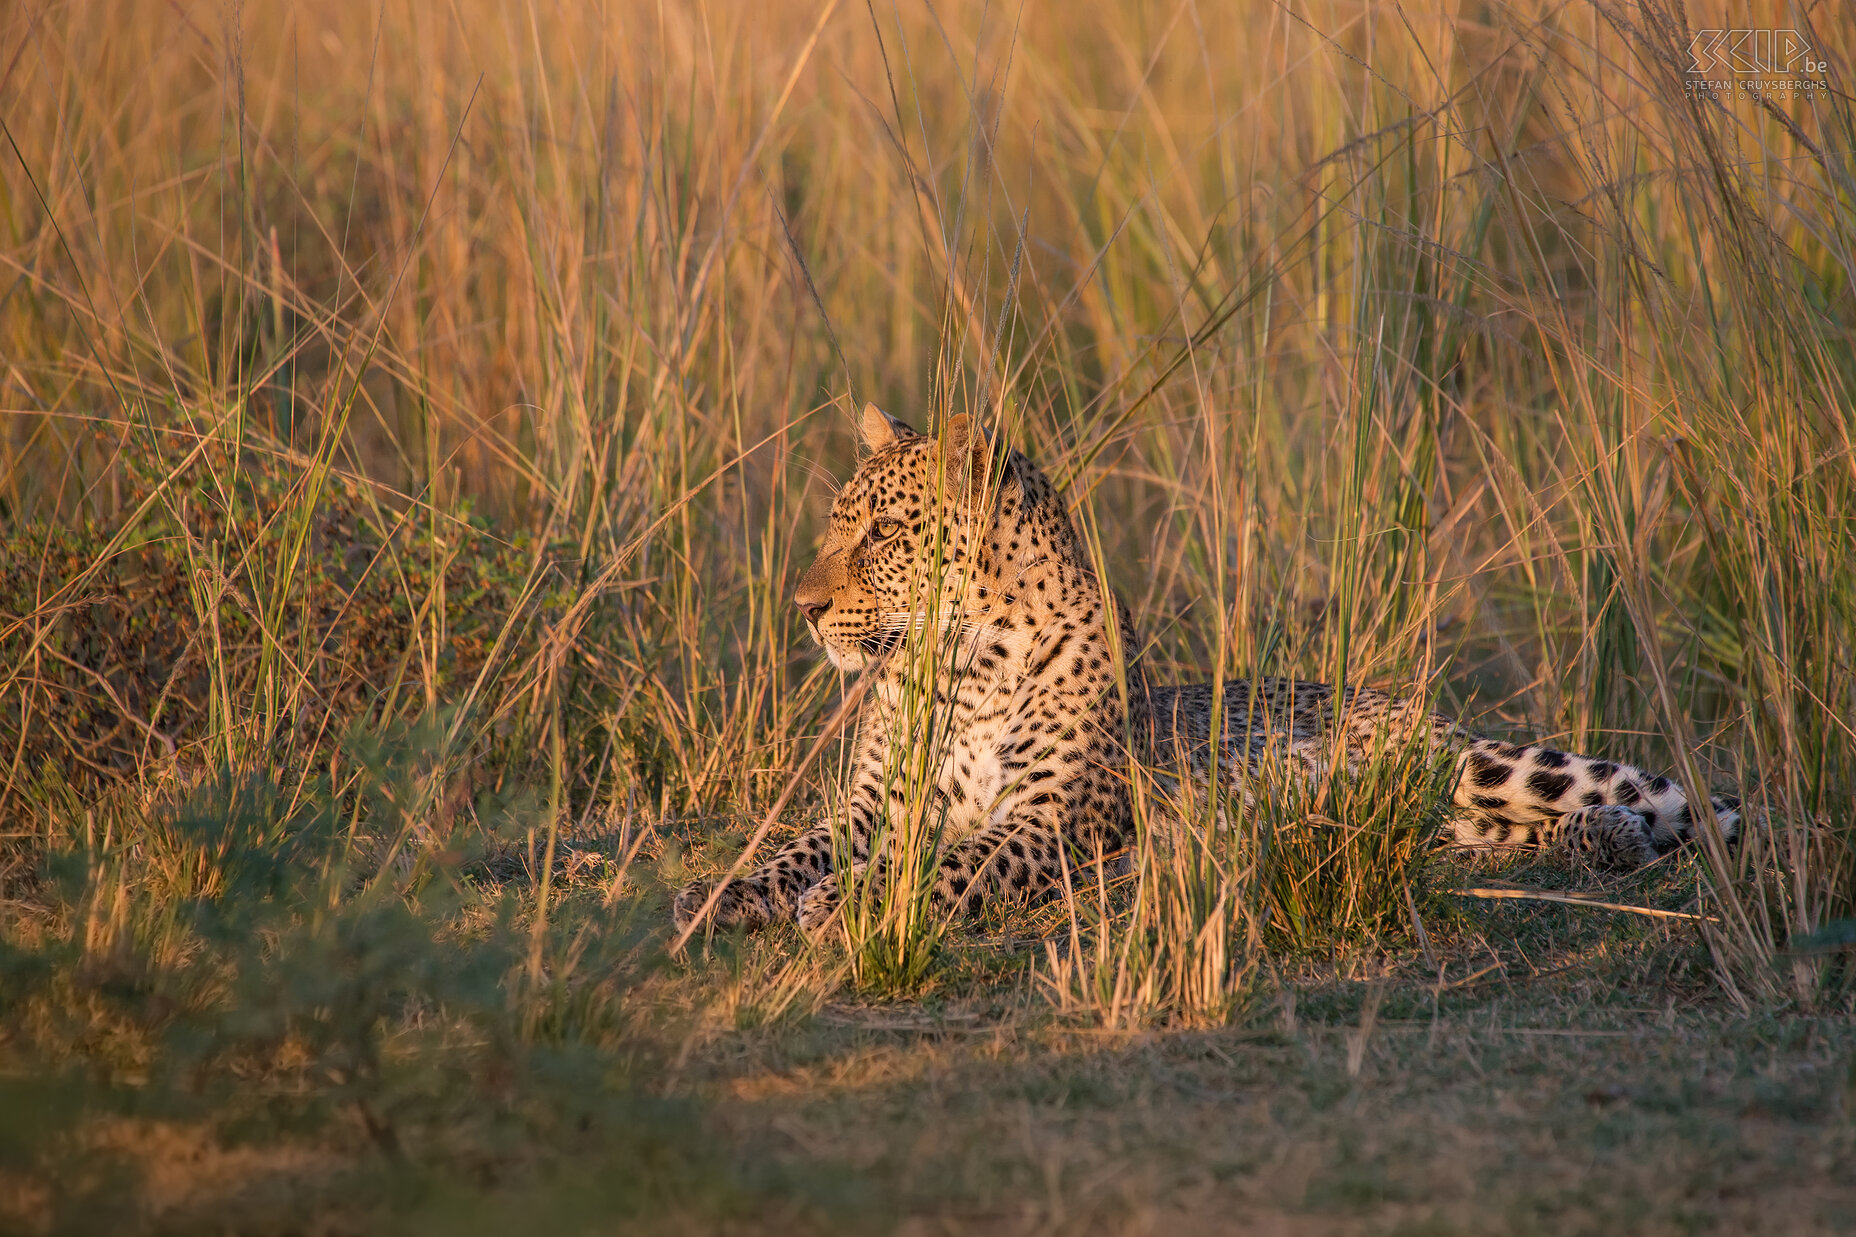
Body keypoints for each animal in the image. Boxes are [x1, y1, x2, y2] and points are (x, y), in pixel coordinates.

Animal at [671, 408, 1737, 928]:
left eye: (885, 534)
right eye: (837, 521)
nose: (803, 607)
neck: (958, 669)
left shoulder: (1050, 816)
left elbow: (953, 859)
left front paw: (846, 899)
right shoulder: (873, 805)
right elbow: (799, 845)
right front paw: (726, 892)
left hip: (1478, 762)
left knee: (1671, 807)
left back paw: (1620, 834)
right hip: (1425, 817)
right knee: (1474, 840)